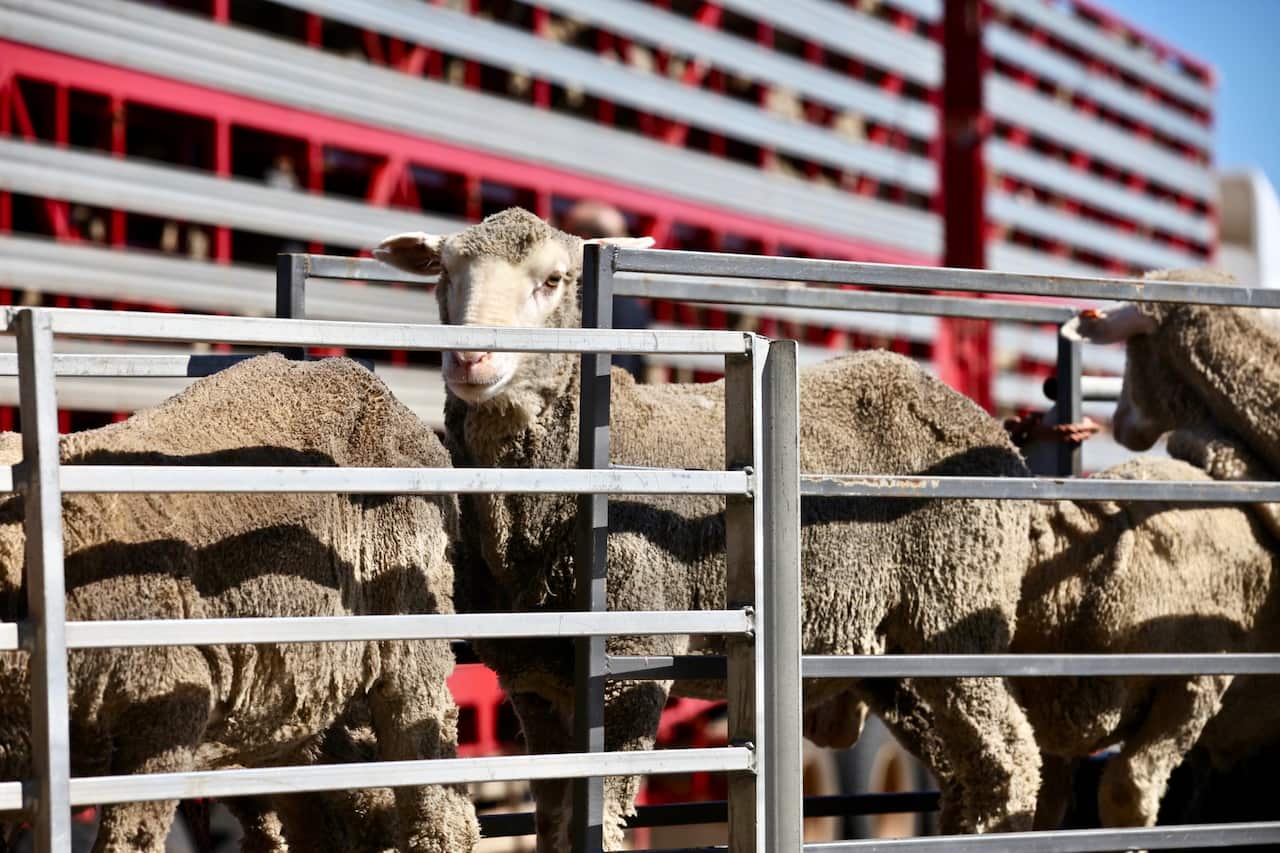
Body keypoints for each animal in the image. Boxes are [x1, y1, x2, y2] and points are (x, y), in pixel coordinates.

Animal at [375, 207, 1042, 848]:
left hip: (956, 612)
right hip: (895, 653)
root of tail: (976, 416)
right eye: (445, 274)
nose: (470, 358)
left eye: (554, 279)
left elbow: (599, 818)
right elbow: (556, 825)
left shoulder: (632, 661)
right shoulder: (535, 682)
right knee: (973, 772)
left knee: (1012, 758)